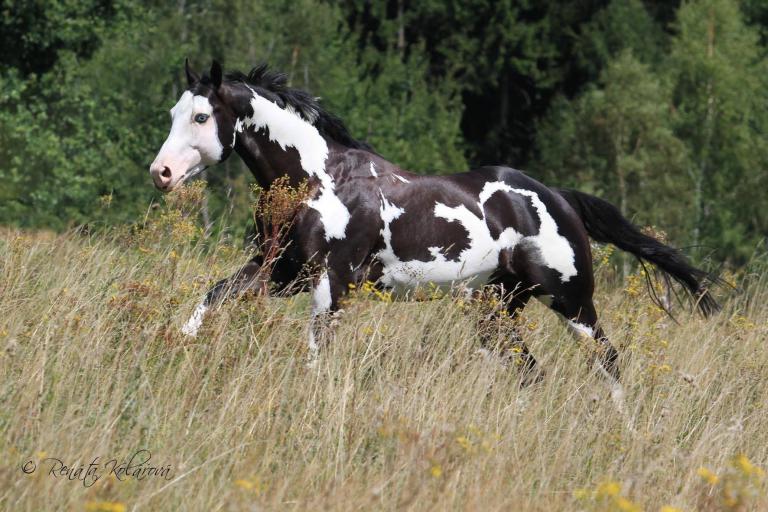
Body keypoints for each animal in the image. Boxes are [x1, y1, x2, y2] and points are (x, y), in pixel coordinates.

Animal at [149, 60, 718, 402]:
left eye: (201, 117)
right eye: (174, 111)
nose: (162, 173)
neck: (321, 180)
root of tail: (560, 198)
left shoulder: (332, 283)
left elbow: (313, 352)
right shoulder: (280, 272)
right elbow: (213, 297)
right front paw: (172, 348)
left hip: (571, 300)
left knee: (608, 362)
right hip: (495, 309)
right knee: (531, 371)